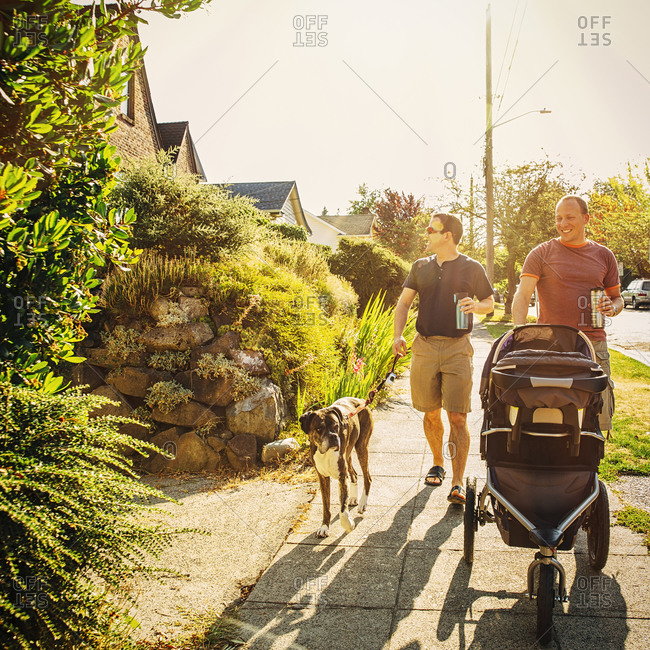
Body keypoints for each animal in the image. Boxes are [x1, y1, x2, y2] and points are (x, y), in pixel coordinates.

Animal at [298, 394, 372, 536]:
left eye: (336, 426)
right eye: (319, 429)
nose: (332, 436)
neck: (325, 453)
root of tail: (361, 400)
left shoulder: (342, 476)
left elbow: (343, 508)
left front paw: (348, 525)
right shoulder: (323, 478)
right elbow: (326, 506)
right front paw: (324, 526)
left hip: (361, 447)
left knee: (367, 477)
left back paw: (362, 503)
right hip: (348, 455)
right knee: (354, 474)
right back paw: (353, 498)